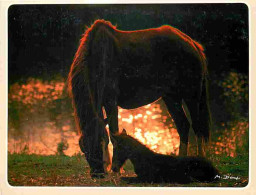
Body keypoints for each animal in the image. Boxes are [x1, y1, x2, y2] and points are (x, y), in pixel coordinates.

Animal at [67, 19, 211, 177]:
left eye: (101, 142)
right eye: (83, 147)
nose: (97, 173)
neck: (99, 58)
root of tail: (192, 44)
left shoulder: (111, 102)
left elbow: (114, 133)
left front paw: (117, 169)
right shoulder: (100, 103)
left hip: (192, 95)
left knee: (197, 127)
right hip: (171, 97)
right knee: (183, 126)